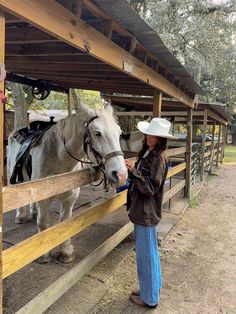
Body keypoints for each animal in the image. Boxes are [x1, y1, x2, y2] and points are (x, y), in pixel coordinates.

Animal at [7, 103, 127, 262]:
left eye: (119, 133)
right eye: (97, 133)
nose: (121, 174)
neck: (58, 158)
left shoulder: (70, 198)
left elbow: (65, 223)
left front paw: (65, 252)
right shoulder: (43, 198)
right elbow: (43, 222)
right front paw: (44, 254)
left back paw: (32, 212)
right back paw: (21, 216)